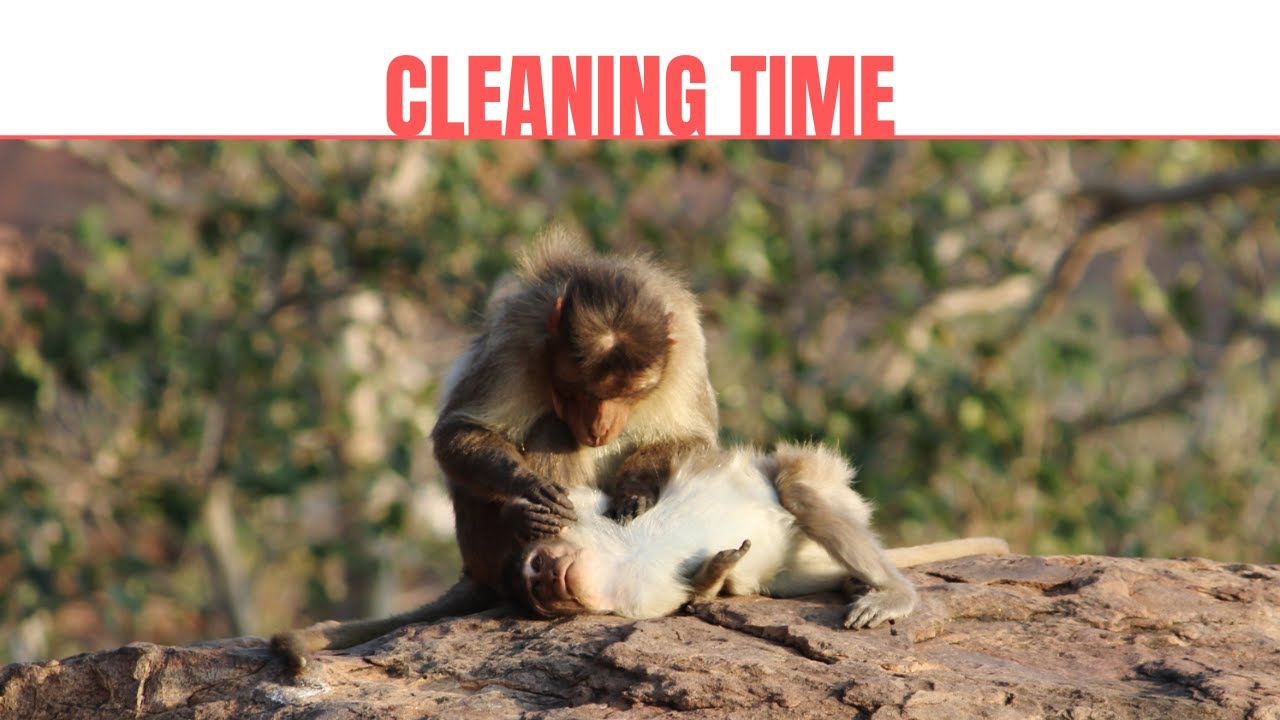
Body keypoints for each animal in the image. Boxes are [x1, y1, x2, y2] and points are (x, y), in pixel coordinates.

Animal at [272, 229, 719, 671]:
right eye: (578, 392)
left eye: (627, 394)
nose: (599, 426)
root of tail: (474, 567)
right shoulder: (515, 338)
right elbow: (459, 432)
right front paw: (528, 492)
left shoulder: (688, 349)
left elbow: (696, 442)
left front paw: (635, 489)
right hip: (486, 543)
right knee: (552, 430)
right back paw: (527, 525)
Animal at [517, 442, 1010, 627]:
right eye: (537, 585)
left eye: (538, 566)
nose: (545, 578)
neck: (617, 558)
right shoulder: (638, 599)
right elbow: (689, 596)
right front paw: (716, 572)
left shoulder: (581, 511)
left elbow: (669, 456)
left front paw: (634, 495)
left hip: (829, 482)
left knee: (796, 491)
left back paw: (892, 591)